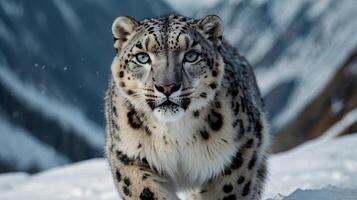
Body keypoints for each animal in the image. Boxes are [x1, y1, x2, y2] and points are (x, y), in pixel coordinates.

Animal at [104, 14, 268, 200]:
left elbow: (229, 189)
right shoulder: (128, 153)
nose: (167, 87)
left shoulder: (241, 147)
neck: (173, 134)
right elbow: (146, 192)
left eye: (191, 56)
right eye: (142, 57)